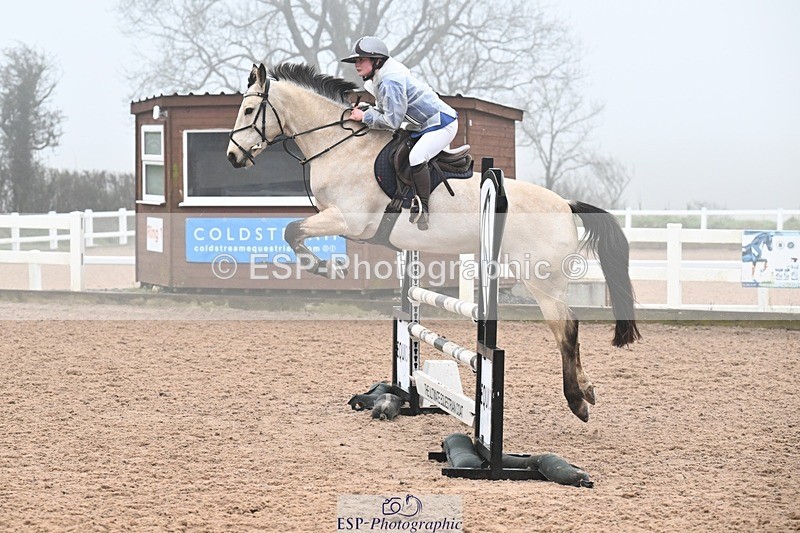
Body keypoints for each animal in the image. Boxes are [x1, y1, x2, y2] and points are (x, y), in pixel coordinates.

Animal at [227, 63, 641, 422]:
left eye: (248, 109)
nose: (232, 156)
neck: (340, 146)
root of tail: (566, 204)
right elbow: (293, 230)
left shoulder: (348, 221)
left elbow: (292, 230)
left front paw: (324, 268)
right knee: (570, 328)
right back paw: (587, 391)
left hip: (542, 278)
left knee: (566, 328)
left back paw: (577, 401)